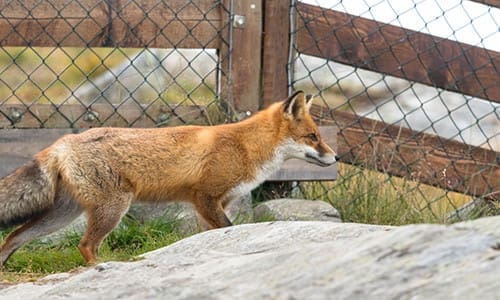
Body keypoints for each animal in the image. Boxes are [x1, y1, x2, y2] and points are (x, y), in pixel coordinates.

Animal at [0, 91, 338, 264]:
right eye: (313, 137)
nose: (336, 157)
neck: (245, 146)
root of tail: (61, 142)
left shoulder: (215, 205)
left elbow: (215, 236)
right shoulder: (205, 197)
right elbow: (228, 228)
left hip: (62, 215)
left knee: (13, 236)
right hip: (112, 208)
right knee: (85, 246)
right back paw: (102, 267)